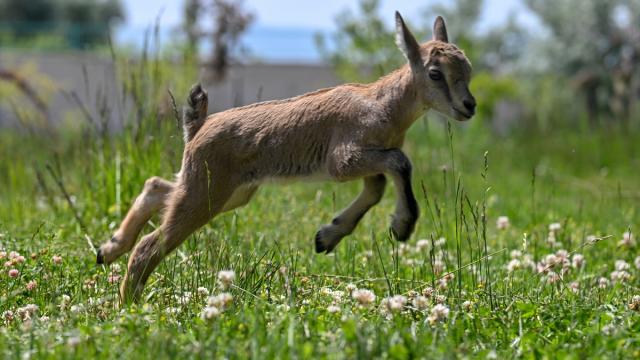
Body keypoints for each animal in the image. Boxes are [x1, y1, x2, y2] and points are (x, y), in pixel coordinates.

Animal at [95, 12, 476, 302]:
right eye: (435, 73)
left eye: (468, 70)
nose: (468, 106)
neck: (384, 105)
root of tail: (197, 126)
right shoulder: (344, 160)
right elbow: (399, 163)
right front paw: (402, 225)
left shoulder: (365, 162)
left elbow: (378, 186)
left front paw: (327, 236)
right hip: (206, 192)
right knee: (149, 245)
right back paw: (129, 304)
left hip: (227, 192)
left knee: (157, 186)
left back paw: (107, 249)